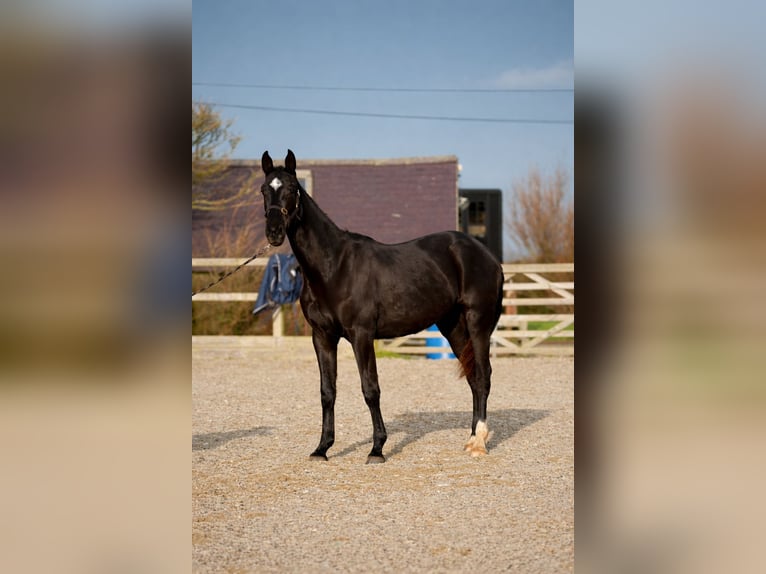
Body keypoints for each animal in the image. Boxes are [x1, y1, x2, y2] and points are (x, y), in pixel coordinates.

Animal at [260, 150, 504, 463]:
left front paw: (377, 448)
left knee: (483, 376)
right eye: (264, 190)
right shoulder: (322, 337)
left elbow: (370, 389)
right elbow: (327, 391)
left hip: (477, 323)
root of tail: (487, 256)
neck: (334, 266)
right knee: (473, 378)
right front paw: (322, 448)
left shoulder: (361, 335)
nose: (274, 232)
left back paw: (480, 444)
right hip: (454, 327)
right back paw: (472, 438)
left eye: (292, 189)